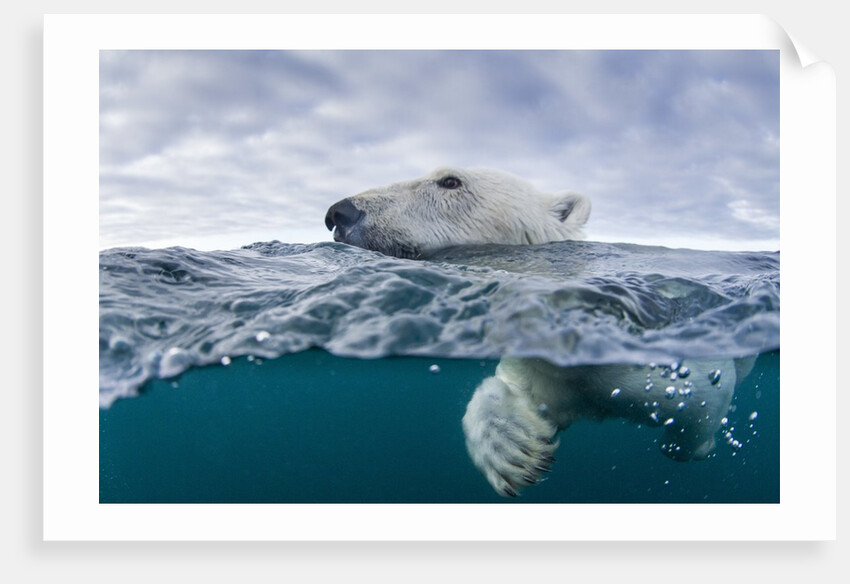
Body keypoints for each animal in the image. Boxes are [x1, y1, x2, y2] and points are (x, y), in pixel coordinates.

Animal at [325, 167, 754, 497]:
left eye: (449, 181)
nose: (339, 212)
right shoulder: (547, 368)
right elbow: (517, 395)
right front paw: (513, 450)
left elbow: (701, 402)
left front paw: (695, 443)